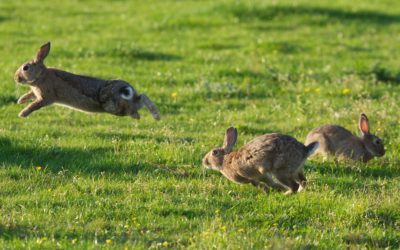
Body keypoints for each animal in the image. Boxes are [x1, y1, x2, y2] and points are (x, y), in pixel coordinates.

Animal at [14, 42, 161, 120]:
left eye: (26, 67)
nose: (16, 78)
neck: (40, 75)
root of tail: (126, 88)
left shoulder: (46, 97)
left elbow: (35, 105)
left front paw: (22, 114)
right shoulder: (36, 93)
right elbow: (29, 95)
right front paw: (20, 101)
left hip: (112, 106)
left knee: (138, 102)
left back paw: (151, 116)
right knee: (141, 98)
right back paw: (153, 116)